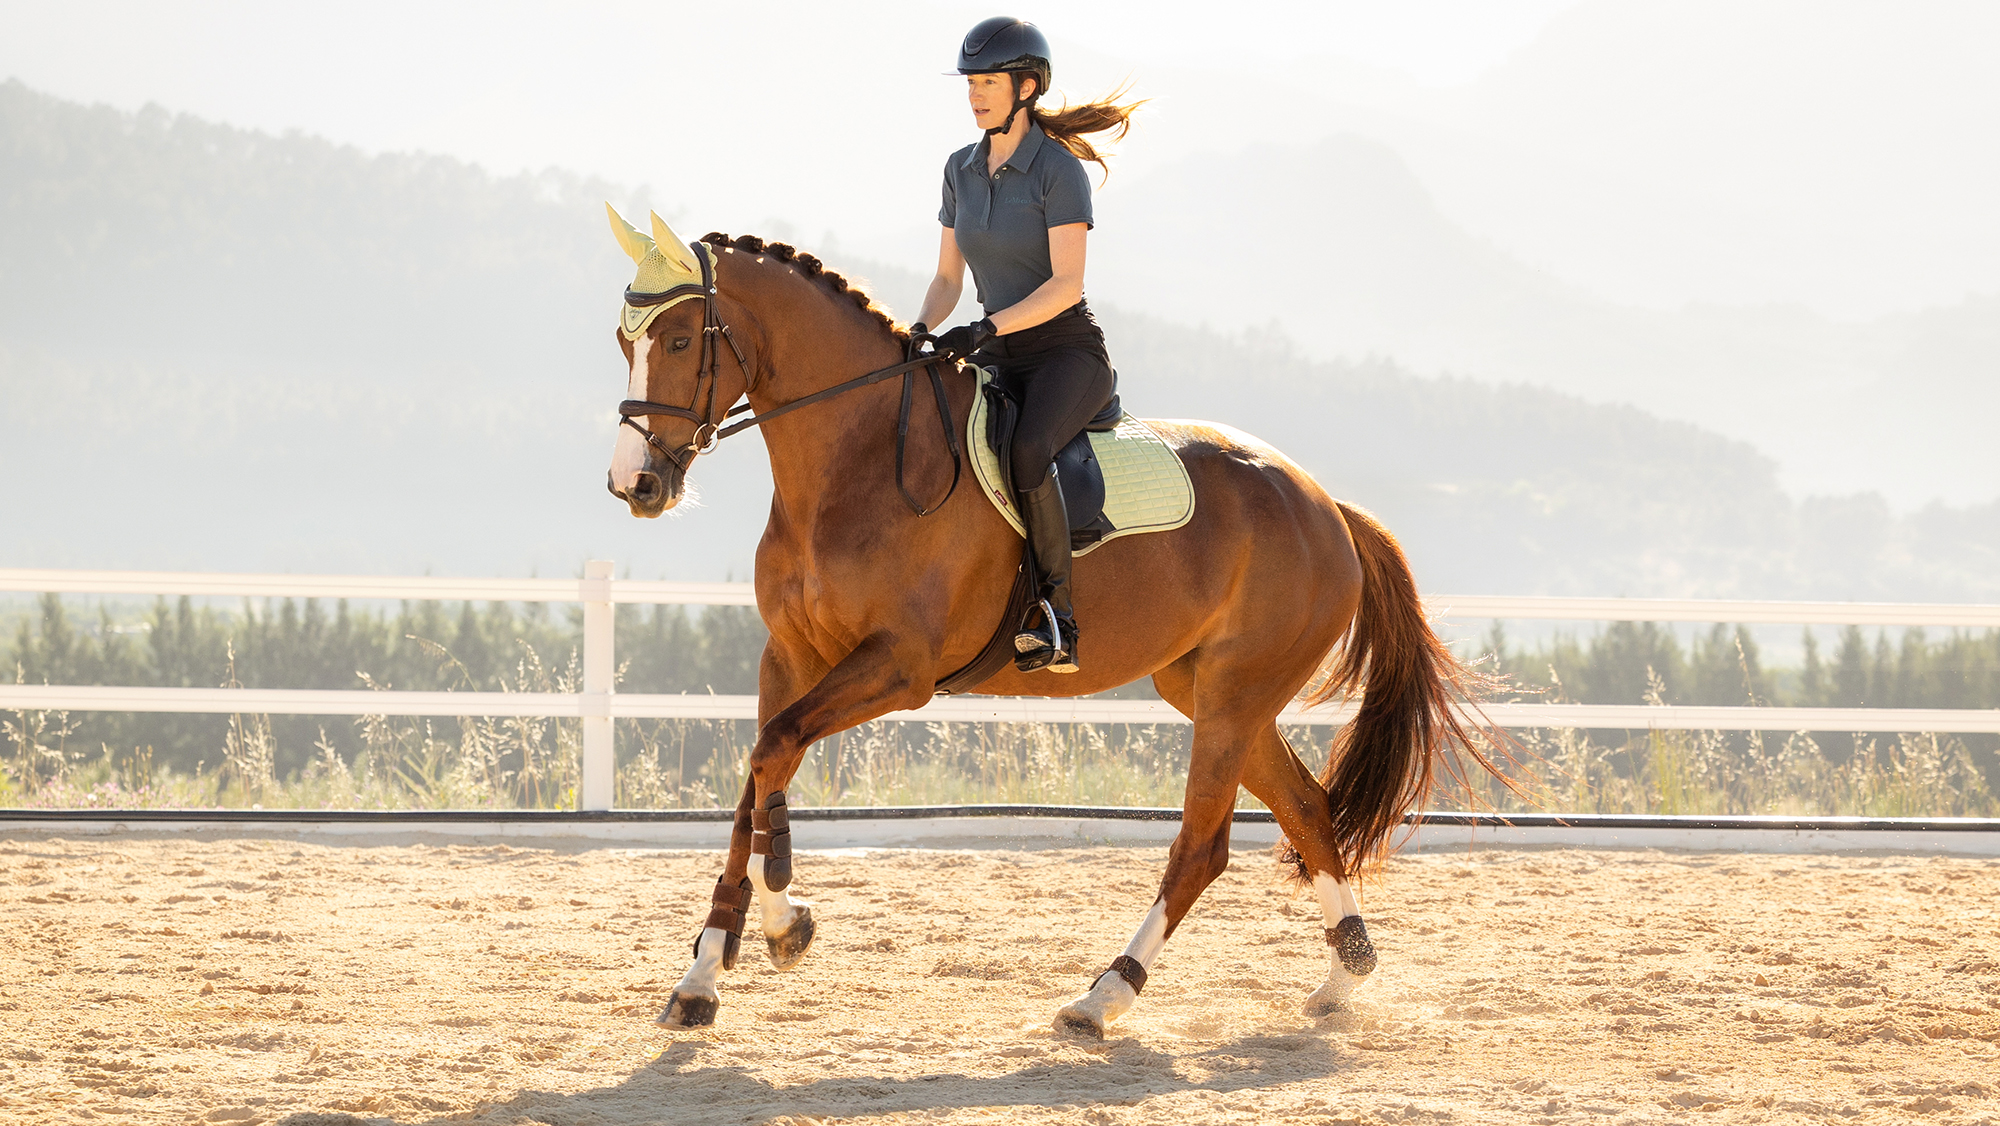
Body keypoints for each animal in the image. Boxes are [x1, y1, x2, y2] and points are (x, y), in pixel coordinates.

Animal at [602, 207, 1495, 1037]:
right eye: (623, 341)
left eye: (677, 340)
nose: (634, 486)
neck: (857, 459)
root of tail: (1326, 506)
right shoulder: (788, 656)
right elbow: (759, 772)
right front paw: (708, 972)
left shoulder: (900, 666)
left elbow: (775, 752)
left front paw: (783, 919)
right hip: (1212, 692)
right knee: (1307, 809)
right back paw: (1345, 975)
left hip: (1236, 695)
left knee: (1201, 848)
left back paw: (1104, 997)